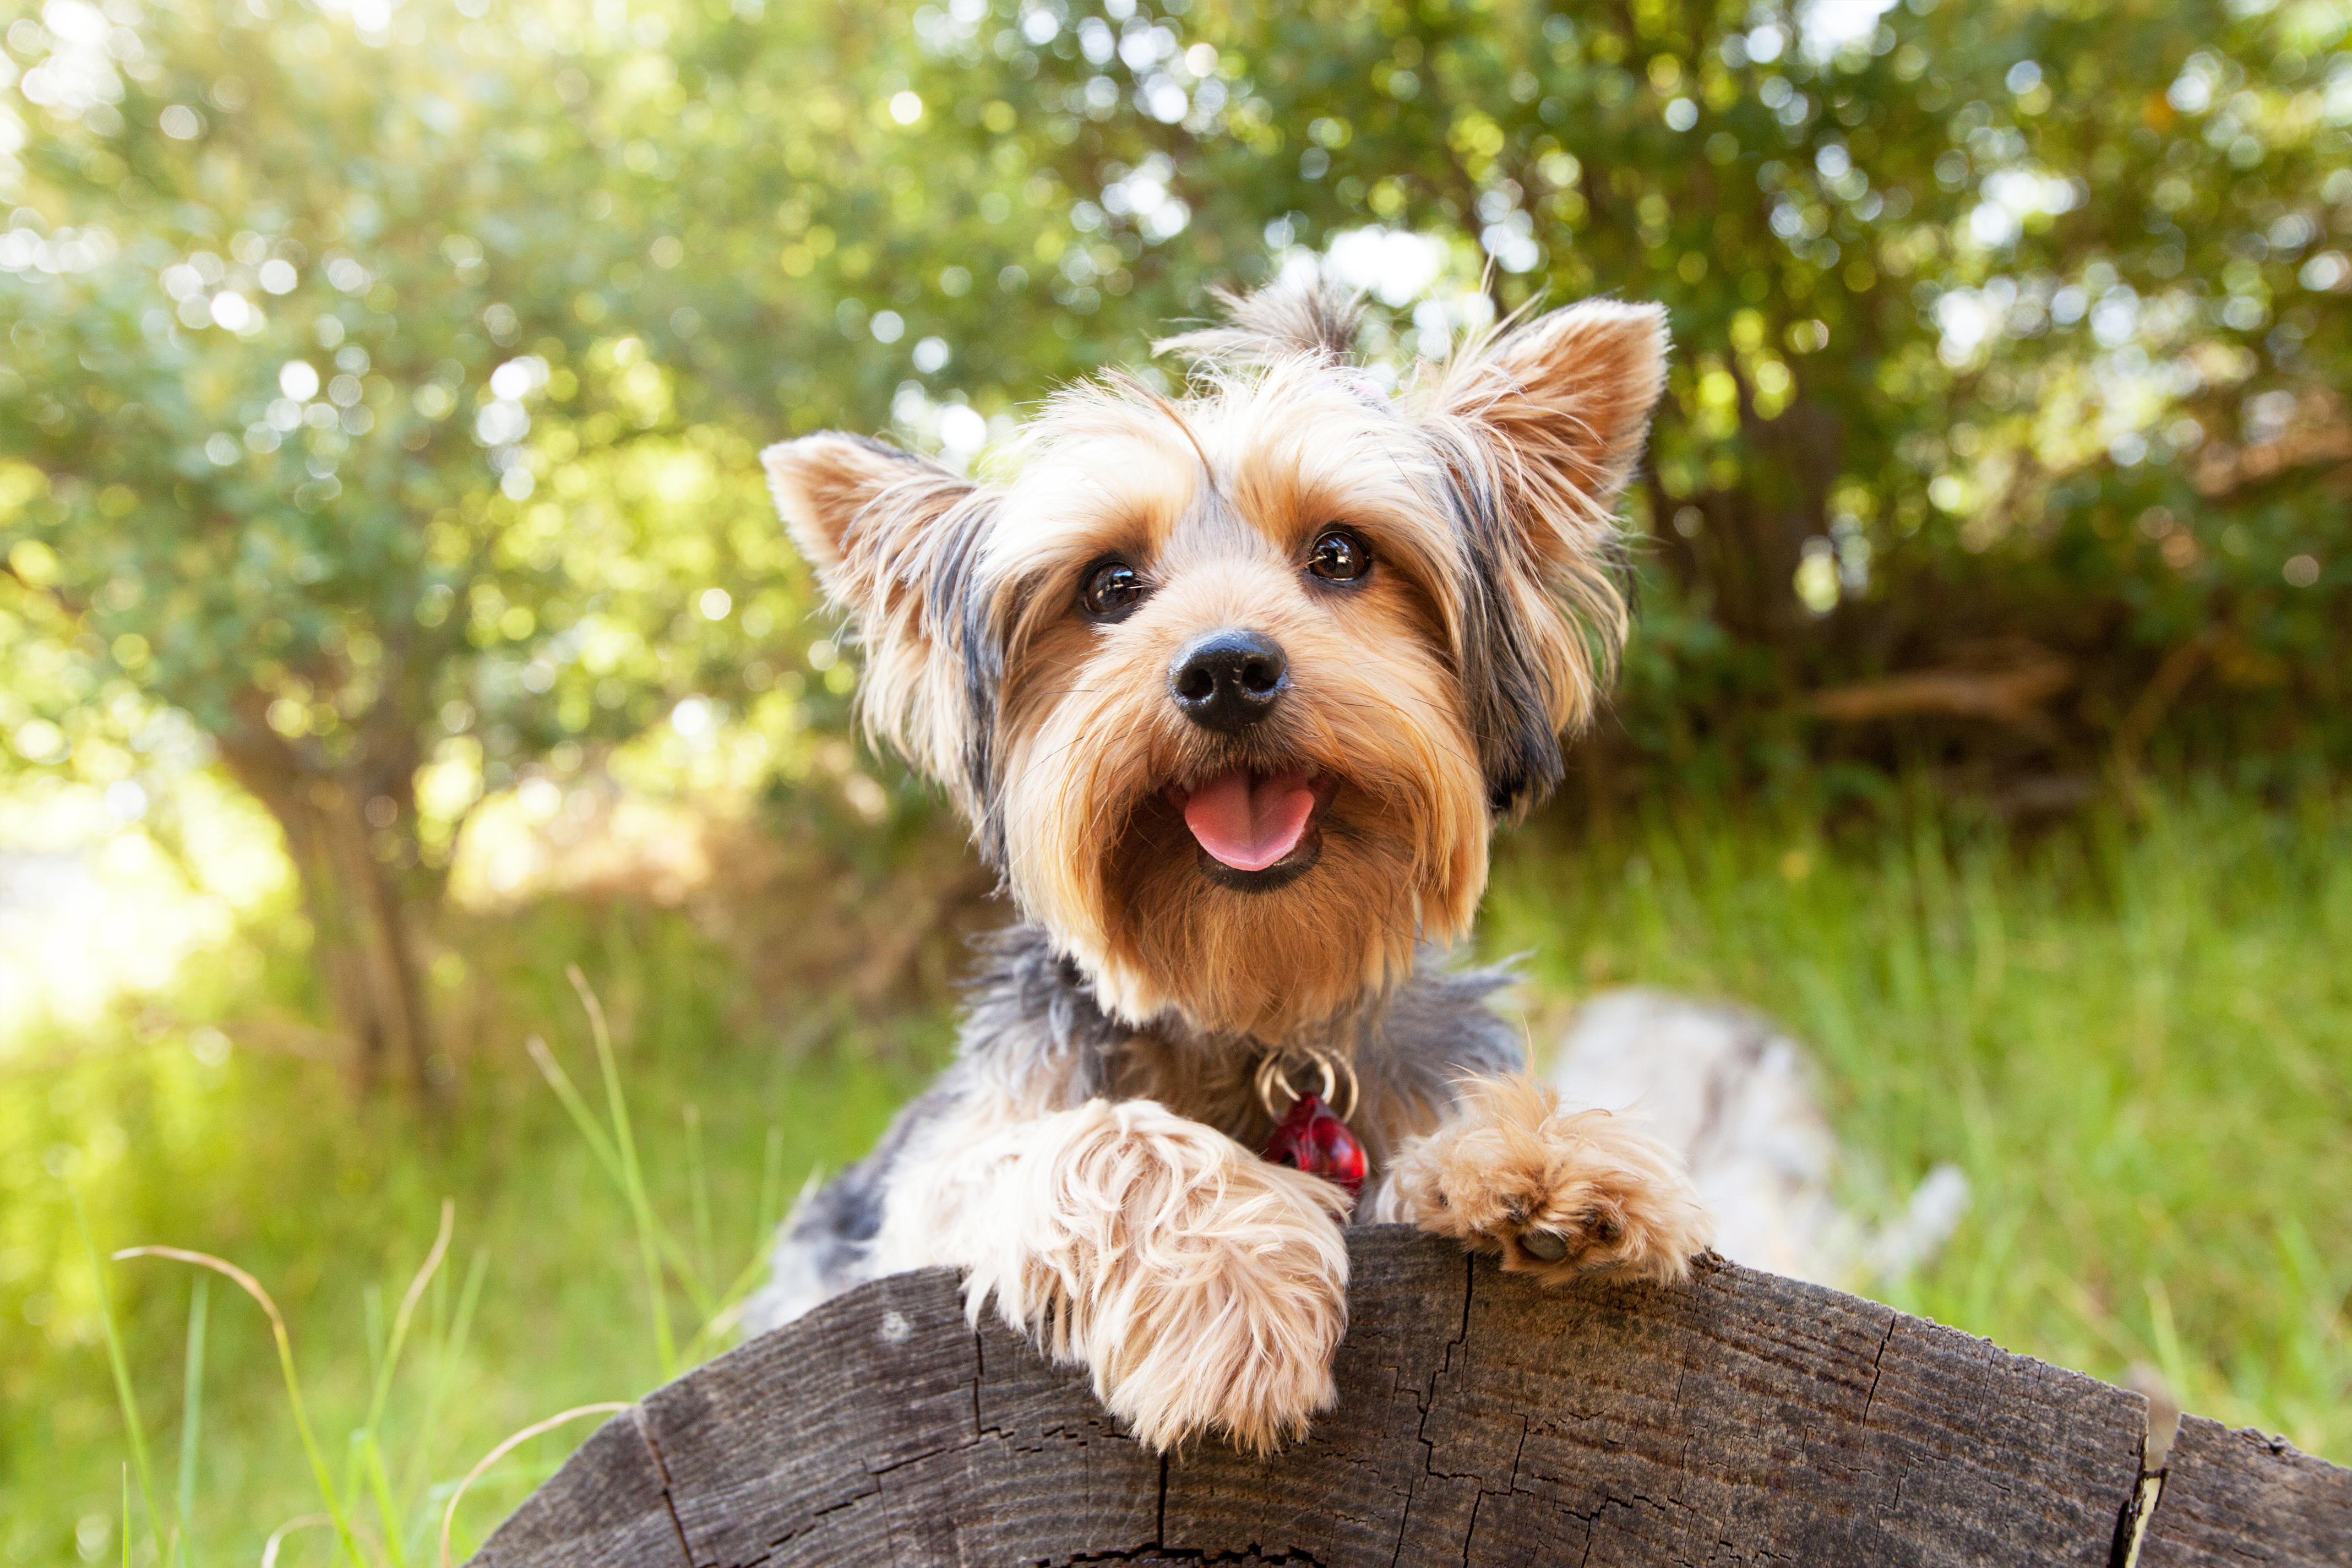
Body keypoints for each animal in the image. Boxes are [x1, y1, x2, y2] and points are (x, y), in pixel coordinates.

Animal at [748, 285, 1712, 1457]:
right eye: (1109, 585)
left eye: (1341, 554)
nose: (1224, 669)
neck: (1249, 998)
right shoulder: (931, 1193)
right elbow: (1098, 1136)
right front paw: (1229, 1284)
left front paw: (1542, 1152)